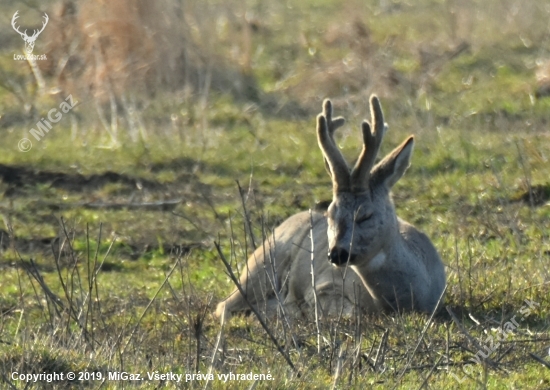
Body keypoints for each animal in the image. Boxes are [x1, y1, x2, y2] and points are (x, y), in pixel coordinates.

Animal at [217, 95, 448, 320]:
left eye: (365, 215)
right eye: (330, 213)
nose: (337, 254)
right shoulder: (323, 284)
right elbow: (349, 311)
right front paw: (297, 310)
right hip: (261, 265)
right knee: (224, 306)